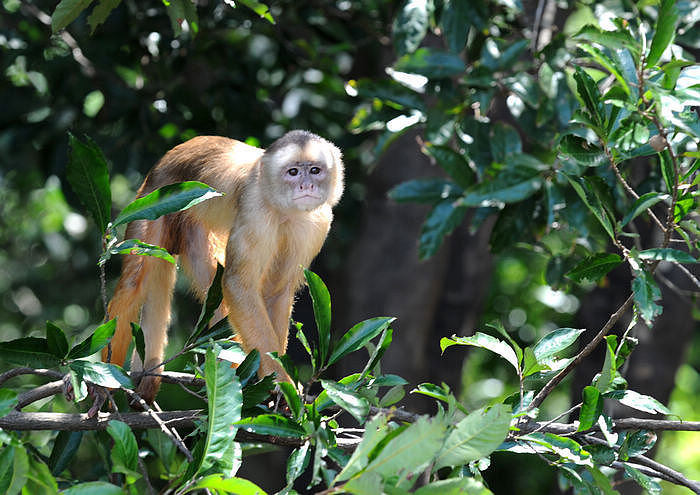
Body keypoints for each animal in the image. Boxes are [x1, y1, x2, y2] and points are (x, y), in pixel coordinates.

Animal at [102, 131, 344, 404]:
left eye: (314, 170)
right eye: (293, 172)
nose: (306, 185)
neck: (283, 210)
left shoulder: (318, 224)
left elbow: (276, 290)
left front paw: (276, 382)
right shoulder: (255, 208)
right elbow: (238, 285)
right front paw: (280, 382)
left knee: (215, 292)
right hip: (150, 204)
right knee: (135, 282)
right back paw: (103, 384)